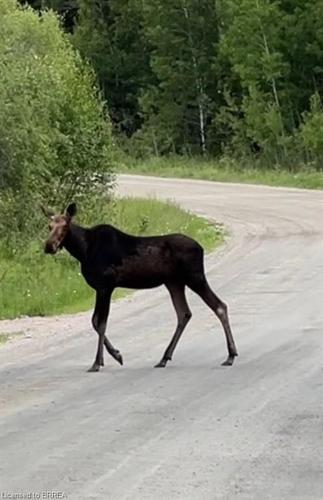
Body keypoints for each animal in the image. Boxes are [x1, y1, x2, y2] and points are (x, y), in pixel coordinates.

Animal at [43, 203, 238, 372]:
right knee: (184, 313)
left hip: (194, 277)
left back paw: (231, 355)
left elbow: (101, 323)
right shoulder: (101, 288)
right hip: (174, 282)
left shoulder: (106, 285)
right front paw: (116, 355)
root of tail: (201, 248)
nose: (49, 246)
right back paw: (164, 358)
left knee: (219, 306)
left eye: (65, 226)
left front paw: (98, 362)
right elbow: (95, 322)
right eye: (49, 225)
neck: (83, 250)